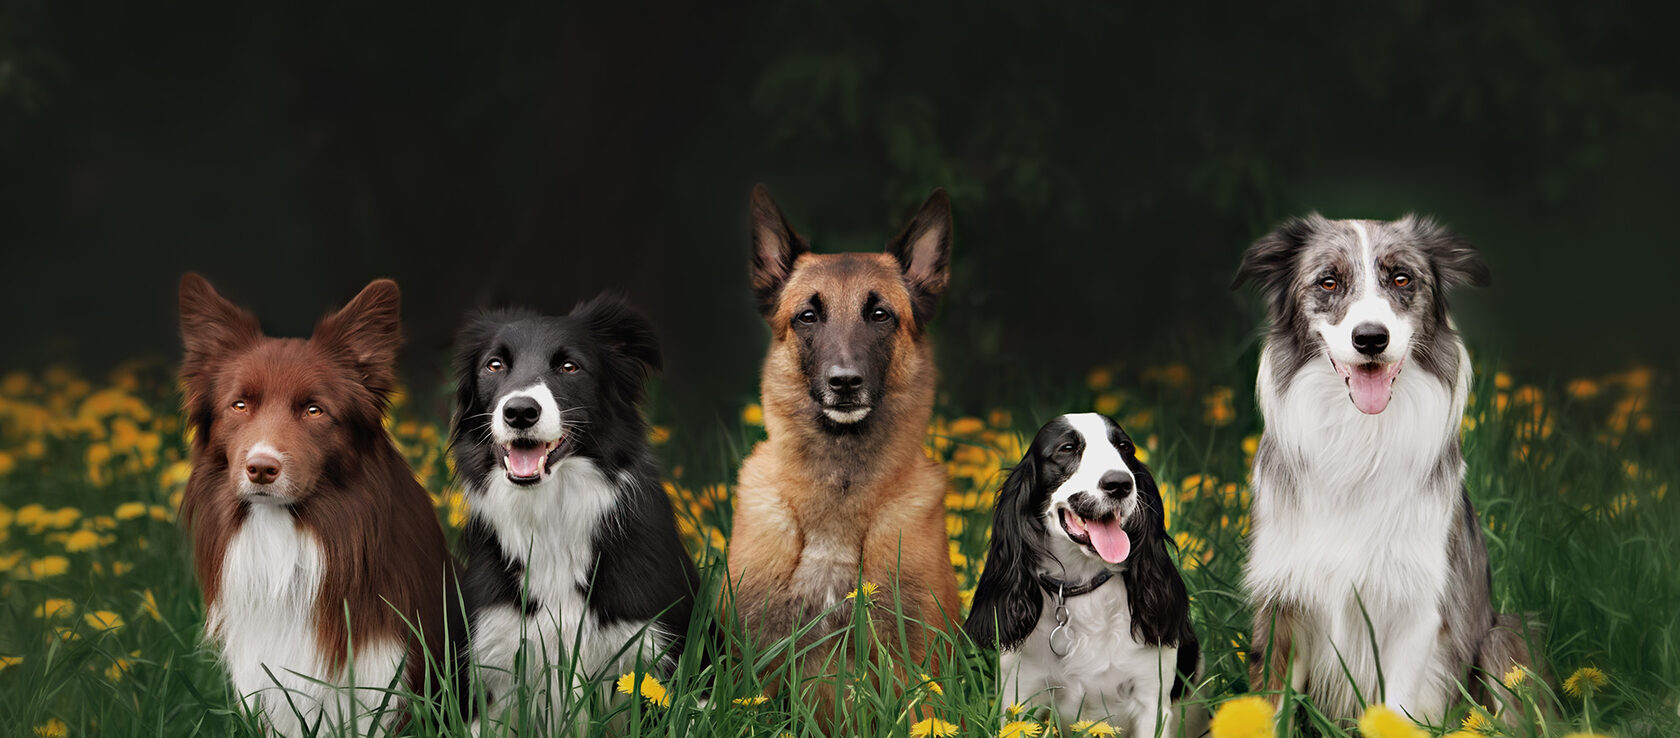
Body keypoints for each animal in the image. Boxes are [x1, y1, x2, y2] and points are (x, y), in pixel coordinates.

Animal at [729, 184, 967, 722]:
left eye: (879, 314)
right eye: (808, 315)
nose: (844, 383)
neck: (837, 496)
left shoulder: (915, 669)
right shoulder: (756, 674)